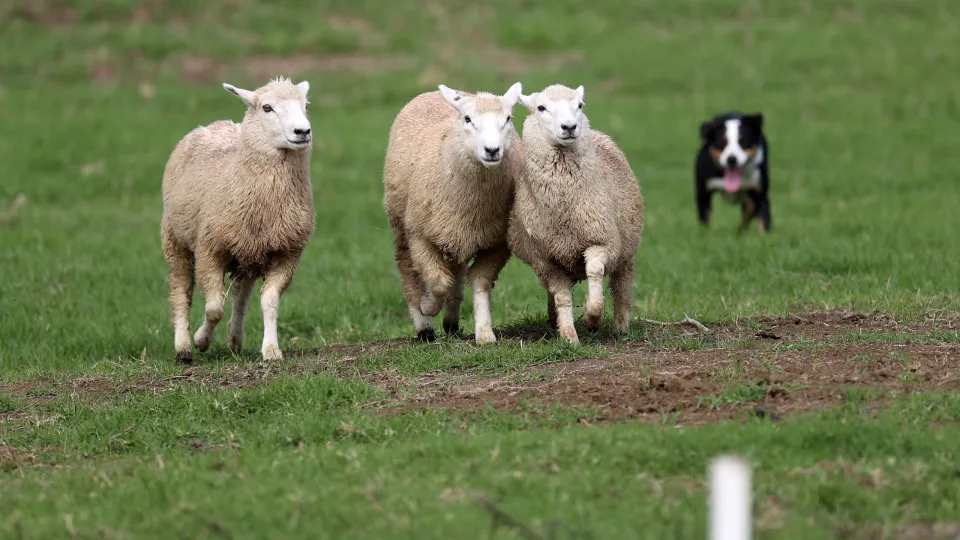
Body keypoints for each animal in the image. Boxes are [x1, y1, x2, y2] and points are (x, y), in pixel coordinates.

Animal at [161, 75, 316, 362]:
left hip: (248, 251)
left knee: (241, 294)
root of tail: (215, 124)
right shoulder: (209, 250)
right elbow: (214, 307)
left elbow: (270, 301)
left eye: (305, 105)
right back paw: (183, 347)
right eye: (267, 108)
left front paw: (271, 350)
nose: (303, 131)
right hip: (175, 240)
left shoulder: (287, 252)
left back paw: (234, 338)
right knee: (180, 289)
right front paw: (201, 339)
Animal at [380, 82, 524, 344]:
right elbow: (437, 283)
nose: (492, 150)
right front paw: (427, 306)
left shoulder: (497, 243)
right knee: (410, 272)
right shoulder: (420, 237)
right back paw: (424, 327)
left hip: (456, 234)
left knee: (456, 277)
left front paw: (485, 333)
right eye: (468, 119)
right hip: (402, 226)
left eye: (508, 118)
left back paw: (451, 323)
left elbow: (480, 282)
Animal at [510, 84, 644, 346]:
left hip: (626, 249)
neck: (564, 208)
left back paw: (621, 326)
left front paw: (593, 317)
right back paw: (553, 320)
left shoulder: (603, 241)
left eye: (579, 105)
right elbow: (562, 297)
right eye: (541, 107)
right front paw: (569, 337)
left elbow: (595, 271)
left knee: (622, 285)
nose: (570, 127)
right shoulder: (547, 261)